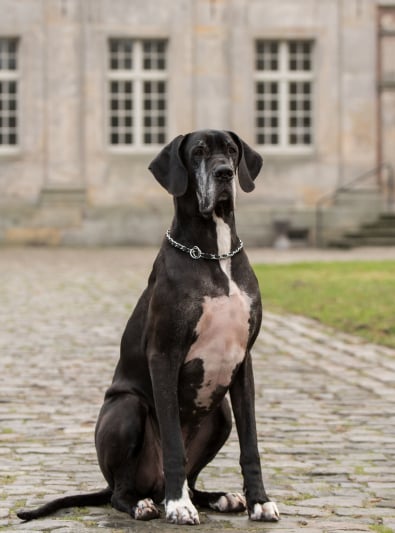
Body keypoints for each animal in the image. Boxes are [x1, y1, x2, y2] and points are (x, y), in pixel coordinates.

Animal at [17, 130, 278, 524]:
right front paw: (178, 505)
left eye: (232, 151)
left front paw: (259, 501)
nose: (224, 173)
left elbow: (251, 443)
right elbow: (172, 442)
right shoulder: (164, 357)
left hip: (221, 414)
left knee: (192, 478)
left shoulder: (242, 362)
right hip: (127, 408)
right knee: (121, 492)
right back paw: (147, 503)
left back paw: (218, 497)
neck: (214, 253)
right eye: (198, 152)